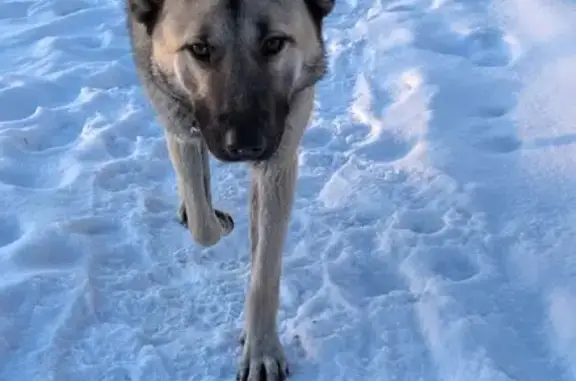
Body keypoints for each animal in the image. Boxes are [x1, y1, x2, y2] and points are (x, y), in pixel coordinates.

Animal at [125, 0, 332, 378]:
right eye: (199, 49)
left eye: (274, 44)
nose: (246, 144)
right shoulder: (177, 120)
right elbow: (203, 227)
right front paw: (209, 218)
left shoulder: (279, 158)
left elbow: (264, 273)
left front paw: (260, 349)